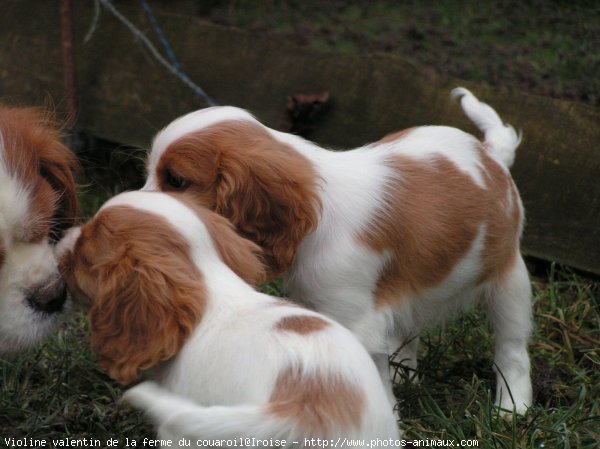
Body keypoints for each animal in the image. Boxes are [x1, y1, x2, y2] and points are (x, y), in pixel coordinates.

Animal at [142, 87, 536, 412]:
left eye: (176, 180)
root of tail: (491, 155)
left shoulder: (355, 319)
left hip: (509, 280)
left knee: (512, 348)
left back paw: (512, 408)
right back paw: (405, 372)